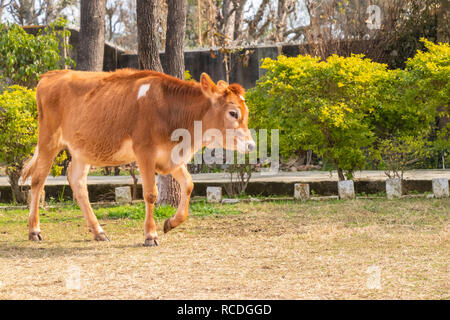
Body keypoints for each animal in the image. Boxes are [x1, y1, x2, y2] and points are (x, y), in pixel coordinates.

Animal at [21, 69, 255, 246]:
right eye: (233, 113)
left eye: (246, 112)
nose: (252, 145)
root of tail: (52, 75)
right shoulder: (145, 151)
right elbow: (151, 193)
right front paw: (150, 235)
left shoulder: (170, 156)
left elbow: (188, 185)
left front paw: (170, 222)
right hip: (49, 139)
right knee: (38, 180)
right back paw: (34, 230)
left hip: (82, 149)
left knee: (77, 182)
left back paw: (98, 231)